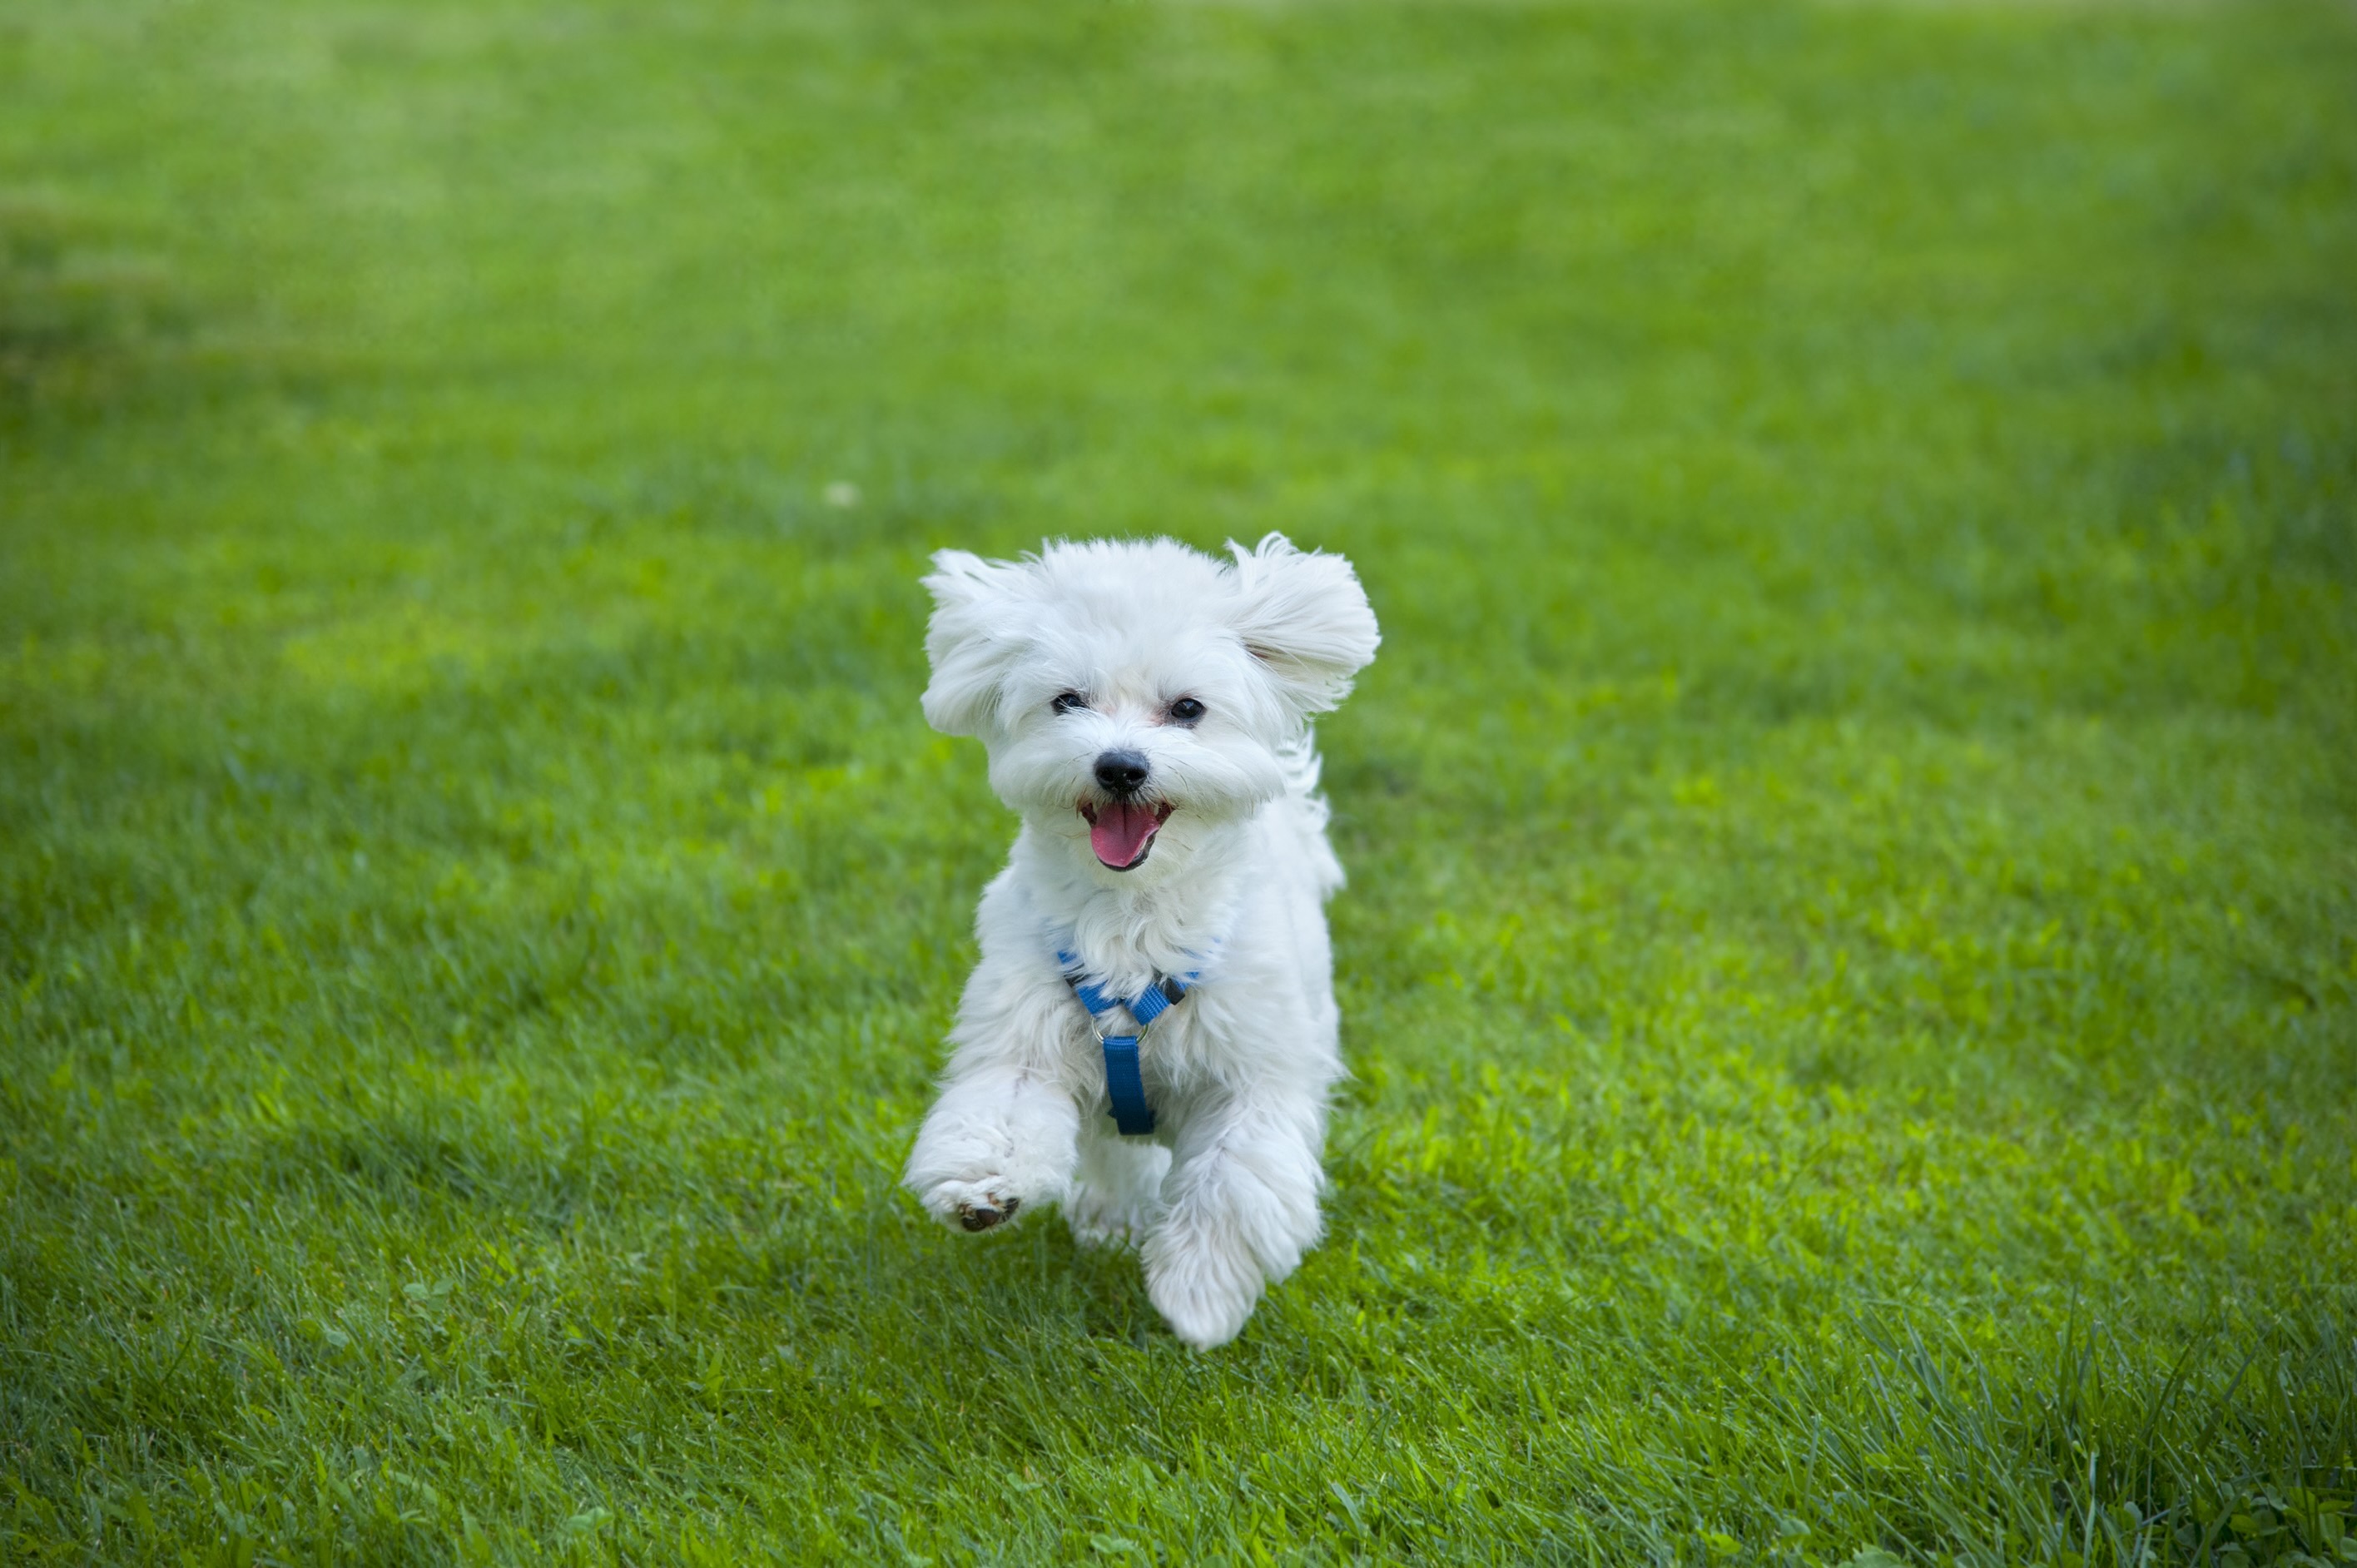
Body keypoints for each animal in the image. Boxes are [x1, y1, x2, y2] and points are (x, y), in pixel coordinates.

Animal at [900, 533, 1376, 1339]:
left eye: (1187, 708)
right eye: (1067, 700)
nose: (1120, 766)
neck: (1133, 918)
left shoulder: (1255, 1074)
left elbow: (1233, 1181)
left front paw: (1199, 1293)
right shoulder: (1025, 1032)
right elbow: (1003, 1108)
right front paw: (983, 1185)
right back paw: (1114, 1215)